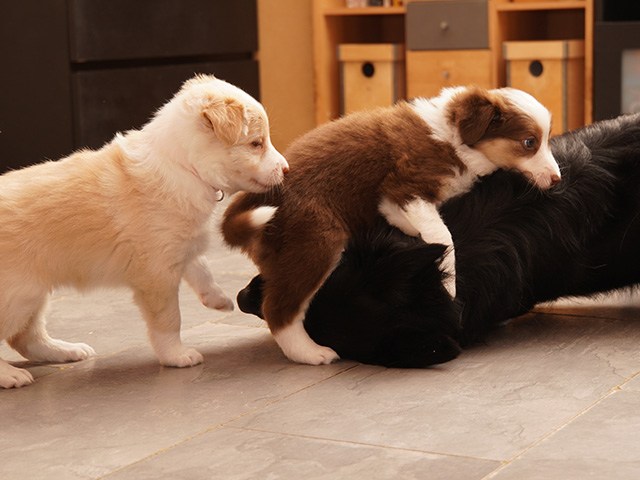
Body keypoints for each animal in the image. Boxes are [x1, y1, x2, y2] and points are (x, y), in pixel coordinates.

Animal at [0, 74, 289, 388]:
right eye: (256, 143)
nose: (286, 169)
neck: (184, 166)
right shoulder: (157, 272)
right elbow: (170, 319)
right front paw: (176, 355)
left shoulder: (180, 243)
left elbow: (201, 269)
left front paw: (218, 299)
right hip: (18, 295)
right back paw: (11, 374)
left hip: (33, 294)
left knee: (25, 337)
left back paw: (66, 351)